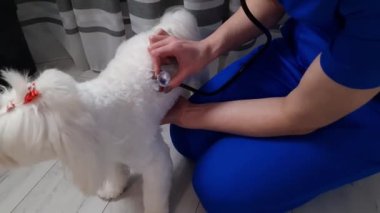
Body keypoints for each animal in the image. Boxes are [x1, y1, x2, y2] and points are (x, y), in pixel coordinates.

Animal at [0, 7, 200, 212]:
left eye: (9, 146)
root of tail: (167, 25)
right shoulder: (109, 154)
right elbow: (116, 173)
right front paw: (113, 190)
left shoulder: (155, 162)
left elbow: (154, 196)